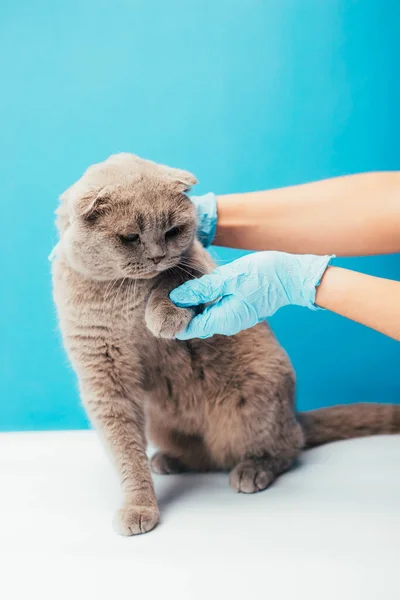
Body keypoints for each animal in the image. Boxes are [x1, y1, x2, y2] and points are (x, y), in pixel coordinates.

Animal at [52, 154, 400, 536]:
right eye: (130, 237)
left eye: (172, 231)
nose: (157, 255)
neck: (124, 293)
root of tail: (294, 414)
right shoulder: (103, 370)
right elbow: (126, 452)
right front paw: (138, 507)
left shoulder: (199, 266)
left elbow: (176, 279)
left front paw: (162, 317)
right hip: (163, 422)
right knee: (206, 457)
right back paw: (168, 460)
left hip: (254, 401)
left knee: (287, 447)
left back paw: (252, 470)